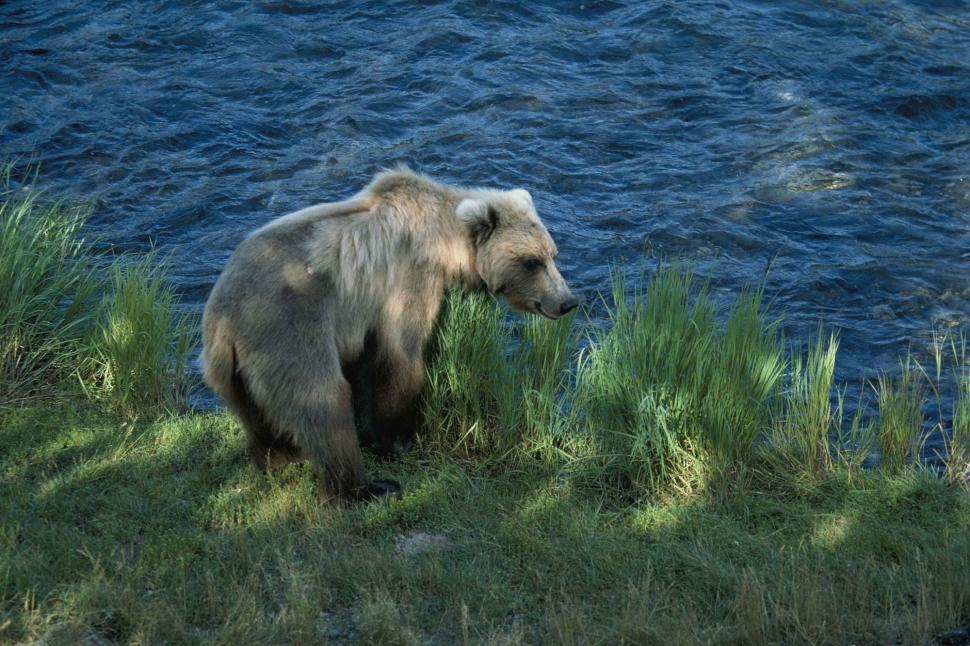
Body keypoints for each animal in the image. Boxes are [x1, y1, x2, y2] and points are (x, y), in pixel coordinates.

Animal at [201, 167, 577, 502]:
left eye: (552, 254)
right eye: (532, 262)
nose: (566, 301)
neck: (446, 245)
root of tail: (221, 319)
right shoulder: (406, 279)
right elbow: (399, 355)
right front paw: (400, 437)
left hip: (234, 373)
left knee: (256, 415)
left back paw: (280, 455)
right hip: (286, 326)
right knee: (322, 398)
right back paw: (366, 489)